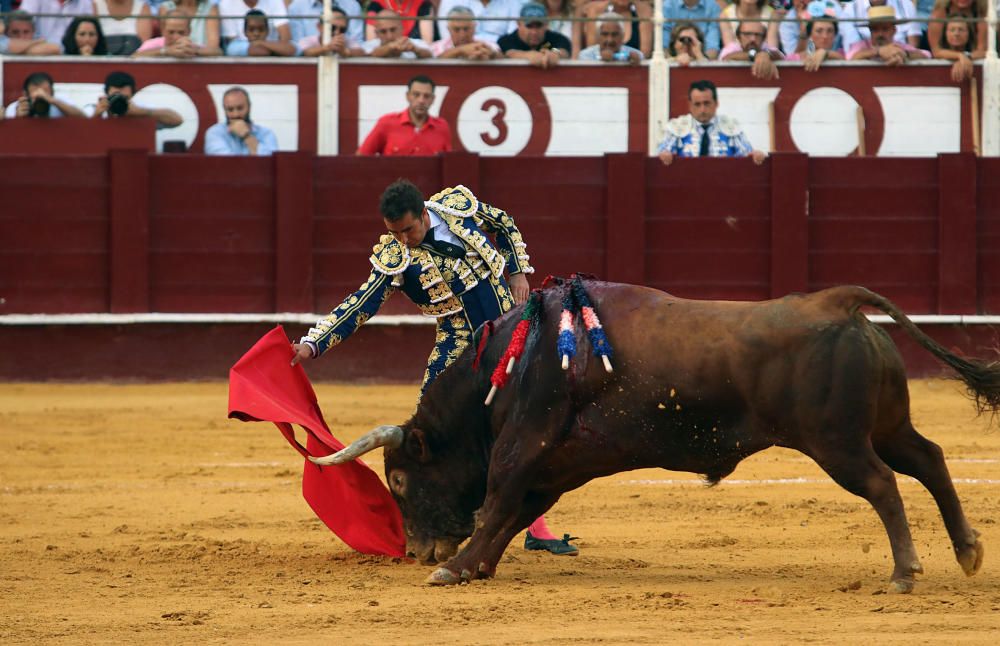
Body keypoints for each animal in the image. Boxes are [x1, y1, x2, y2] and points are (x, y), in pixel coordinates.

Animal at [310, 280, 1000, 596]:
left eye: (400, 479)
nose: (414, 549)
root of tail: (838, 303)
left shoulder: (525, 443)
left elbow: (499, 501)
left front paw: (454, 568)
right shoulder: (558, 462)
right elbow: (513, 513)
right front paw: (475, 565)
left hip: (838, 442)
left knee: (883, 484)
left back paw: (906, 572)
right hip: (886, 426)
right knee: (930, 459)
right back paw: (967, 550)